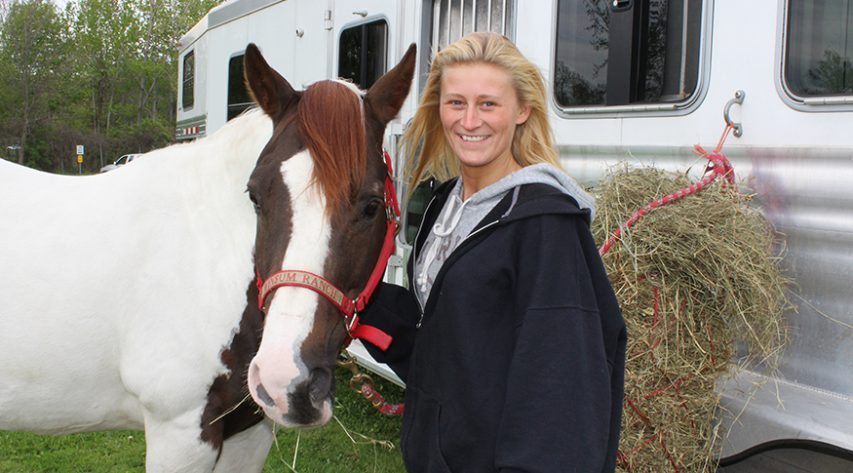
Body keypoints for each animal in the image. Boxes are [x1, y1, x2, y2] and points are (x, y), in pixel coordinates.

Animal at [0, 42, 416, 470]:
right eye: (255, 196)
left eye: (371, 206)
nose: (288, 381)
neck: (207, 262)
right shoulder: (180, 434)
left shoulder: (248, 431)